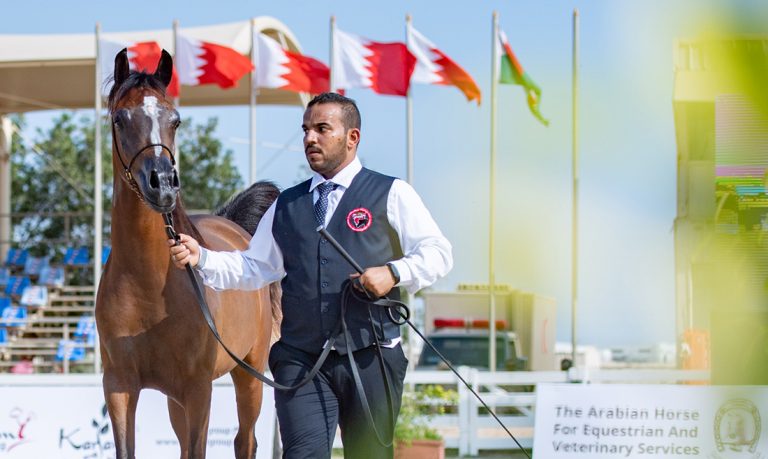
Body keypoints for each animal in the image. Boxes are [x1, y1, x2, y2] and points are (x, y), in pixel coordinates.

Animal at [93, 48, 280, 458]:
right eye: (120, 118)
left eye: (174, 120)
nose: (162, 184)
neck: (149, 285)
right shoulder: (118, 386)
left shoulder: (199, 390)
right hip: (175, 398)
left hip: (249, 373)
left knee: (245, 440)